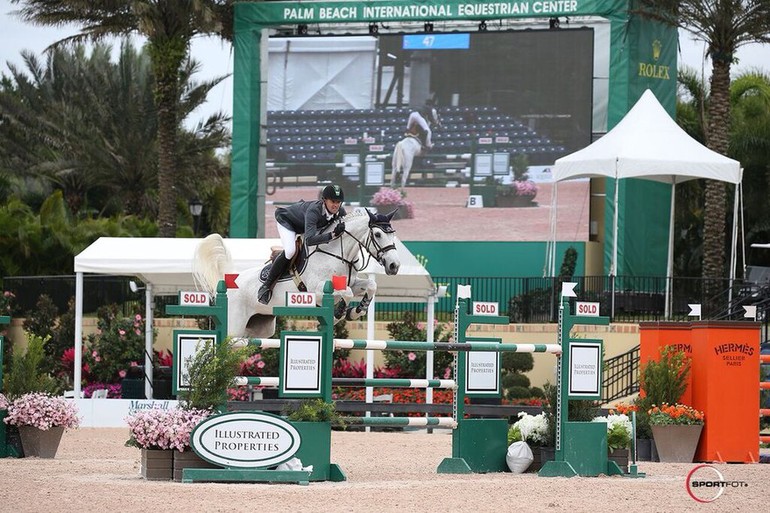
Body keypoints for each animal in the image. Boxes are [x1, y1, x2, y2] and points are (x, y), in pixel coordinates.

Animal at [192, 206, 400, 338]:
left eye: (393, 234)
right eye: (378, 234)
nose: (394, 265)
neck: (338, 252)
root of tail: (228, 280)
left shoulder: (353, 283)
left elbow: (370, 285)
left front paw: (357, 311)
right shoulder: (317, 290)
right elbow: (346, 293)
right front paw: (340, 312)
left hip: (258, 328)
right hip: (234, 325)